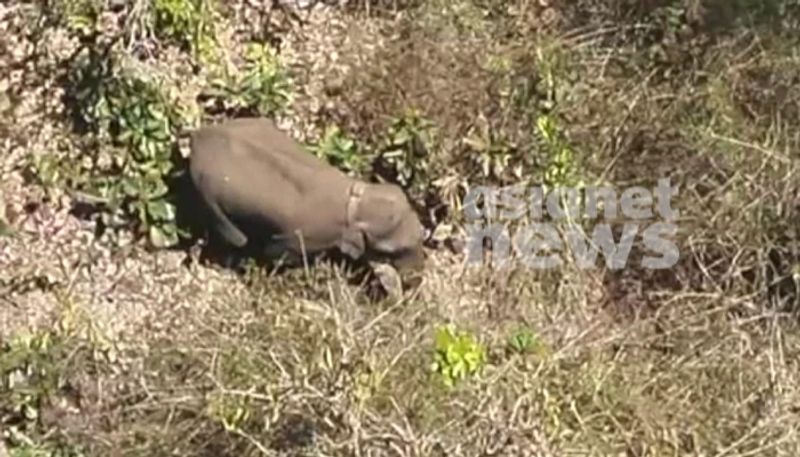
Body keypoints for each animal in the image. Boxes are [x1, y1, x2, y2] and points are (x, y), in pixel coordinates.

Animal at [187, 117, 427, 283]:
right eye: (392, 253)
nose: (413, 282)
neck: (355, 200)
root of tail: (198, 138)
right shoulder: (303, 238)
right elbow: (276, 255)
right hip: (208, 195)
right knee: (234, 237)